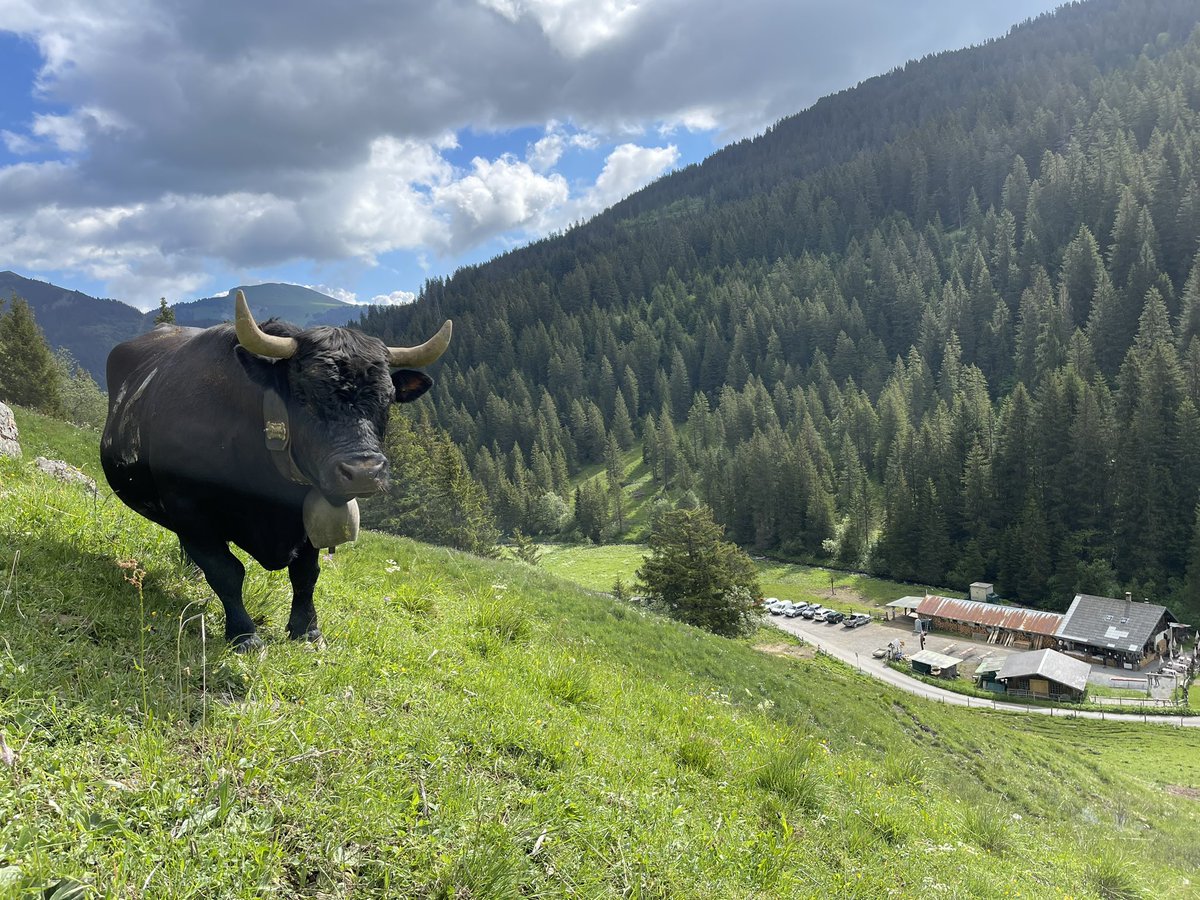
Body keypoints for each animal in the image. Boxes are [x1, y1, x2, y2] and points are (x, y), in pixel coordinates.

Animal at [100, 290, 451, 650]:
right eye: (303, 395)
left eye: (388, 400)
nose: (364, 472)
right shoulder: (188, 508)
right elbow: (226, 571)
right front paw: (244, 634)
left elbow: (306, 575)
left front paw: (307, 630)